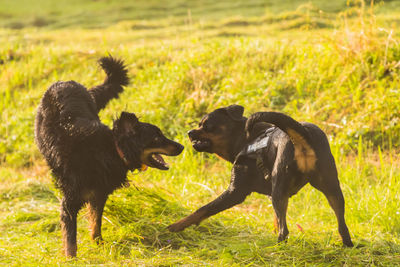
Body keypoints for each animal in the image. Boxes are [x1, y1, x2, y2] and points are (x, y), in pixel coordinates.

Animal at [34, 56, 184, 258]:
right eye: (156, 137)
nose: (182, 146)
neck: (111, 150)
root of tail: (65, 82)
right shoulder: (70, 202)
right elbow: (70, 237)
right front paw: (71, 258)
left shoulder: (99, 193)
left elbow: (96, 222)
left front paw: (99, 244)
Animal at [169, 105, 354, 248]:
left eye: (207, 125)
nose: (190, 132)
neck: (244, 139)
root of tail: (301, 134)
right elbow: (276, 219)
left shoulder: (235, 192)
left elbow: (203, 209)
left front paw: (176, 226)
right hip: (332, 189)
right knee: (342, 225)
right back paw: (347, 245)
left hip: (279, 190)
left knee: (284, 231)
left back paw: (277, 248)